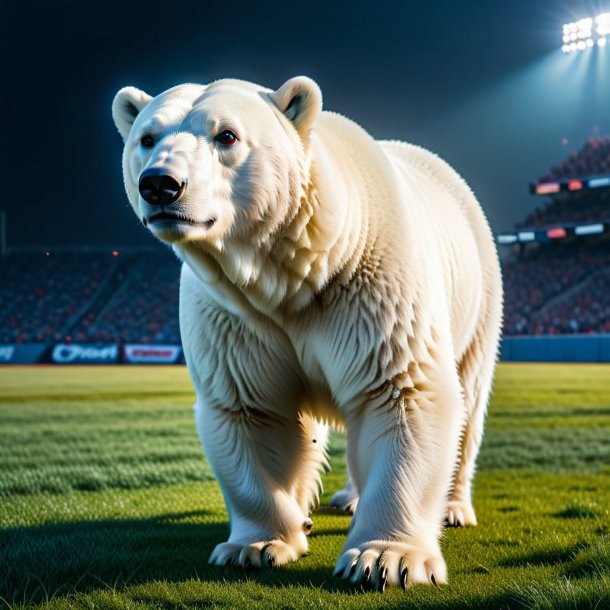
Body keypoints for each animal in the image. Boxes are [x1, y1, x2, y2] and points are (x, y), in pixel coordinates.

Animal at [111, 76, 502, 588]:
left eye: (227, 135)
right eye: (147, 137)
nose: (160, 184)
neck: (295, 274)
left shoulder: (370, 286)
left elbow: (400, 391)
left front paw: (385, 559)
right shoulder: (233, 316)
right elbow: (250, 409)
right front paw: (257, 546)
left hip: (479, 297)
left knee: (469, 403)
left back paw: (453, 508)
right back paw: (343, 498)